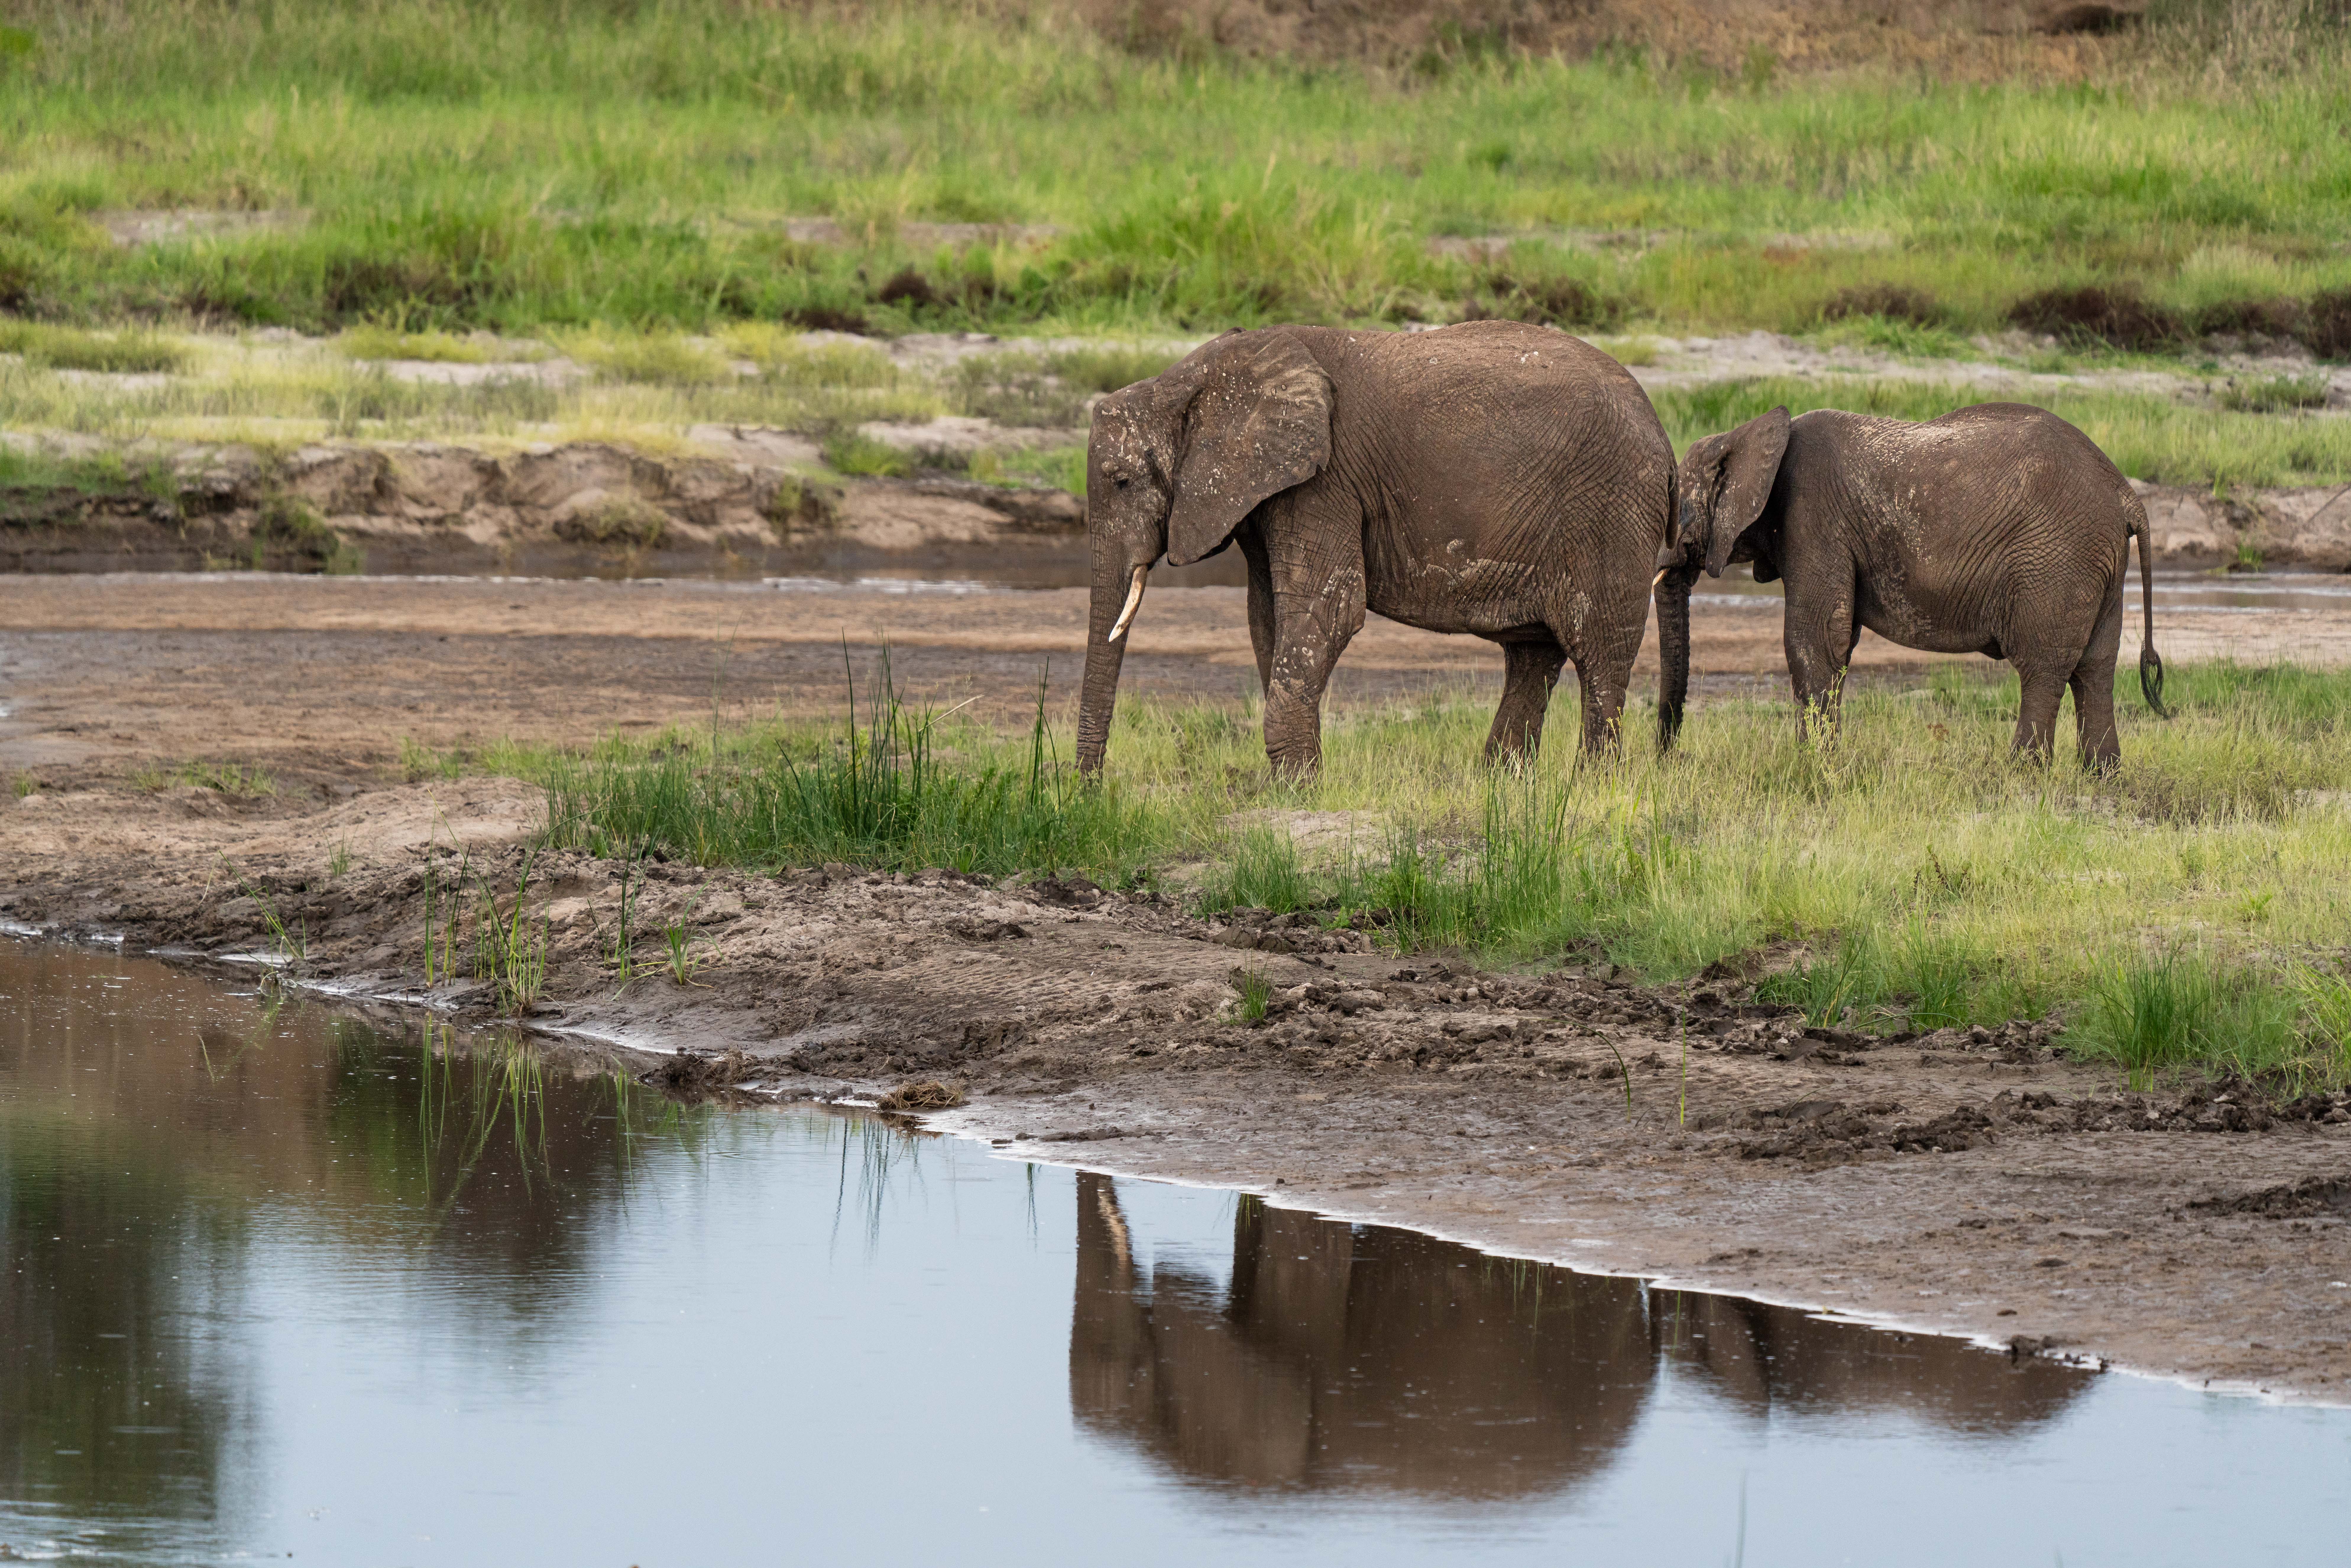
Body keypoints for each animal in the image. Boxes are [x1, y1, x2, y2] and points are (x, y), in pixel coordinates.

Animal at [1074, 321, 1675, 777]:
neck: (1191, 379)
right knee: (1532, 656)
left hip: (1611, 513)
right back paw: (1501, 785)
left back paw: (1590, 786)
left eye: (1122, 480)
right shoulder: (1267, 494)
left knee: (1599, 654)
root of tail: (1663, 434)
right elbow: (1267, 618)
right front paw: (1296, 782)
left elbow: (1326, 612)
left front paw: (1298, 789)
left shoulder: (1324, 484)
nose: (1090, 792)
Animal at [1654, 403, 2165, 766]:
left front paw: (1812, 766)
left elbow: (1813, 640)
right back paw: (2101, 774)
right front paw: (1822, 760)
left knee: (2043, 667)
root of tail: (2125, 494)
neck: (1743, 434)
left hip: (2057, 561)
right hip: (2099, 563)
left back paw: (2023, 773)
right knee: (2095, 668)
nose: (1669, 756)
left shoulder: (1813, 518)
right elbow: (1837, 642)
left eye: (1677, 509)